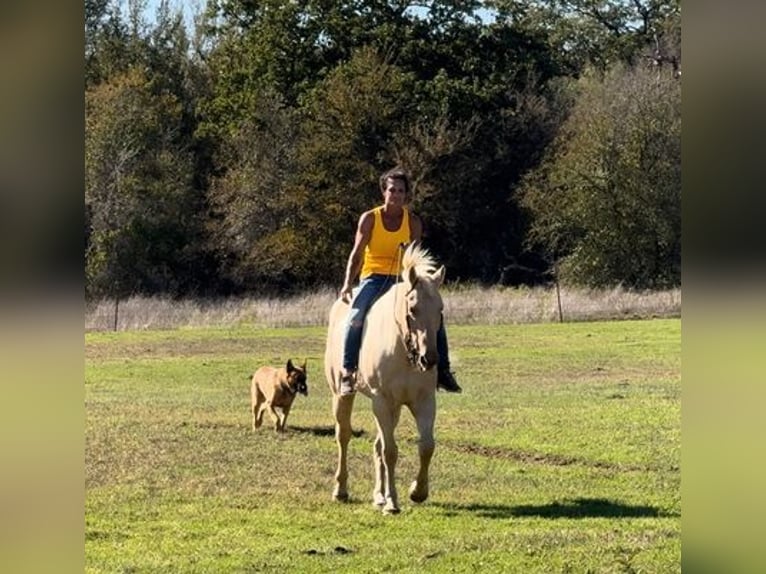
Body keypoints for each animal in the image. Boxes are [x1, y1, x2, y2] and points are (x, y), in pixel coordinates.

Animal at [322, 241, 444, 516]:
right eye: (413, 309)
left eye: (440, 310)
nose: (429, 359)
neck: (403, 348)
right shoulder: (382, 401)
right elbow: (390, 451)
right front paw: (392, 502)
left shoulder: (423, 401)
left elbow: (426, 446)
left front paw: (417, 492)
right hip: (342, 395)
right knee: (343, 436)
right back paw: (341, 490)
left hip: (393, 408)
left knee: (377, 443)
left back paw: (378, 495)